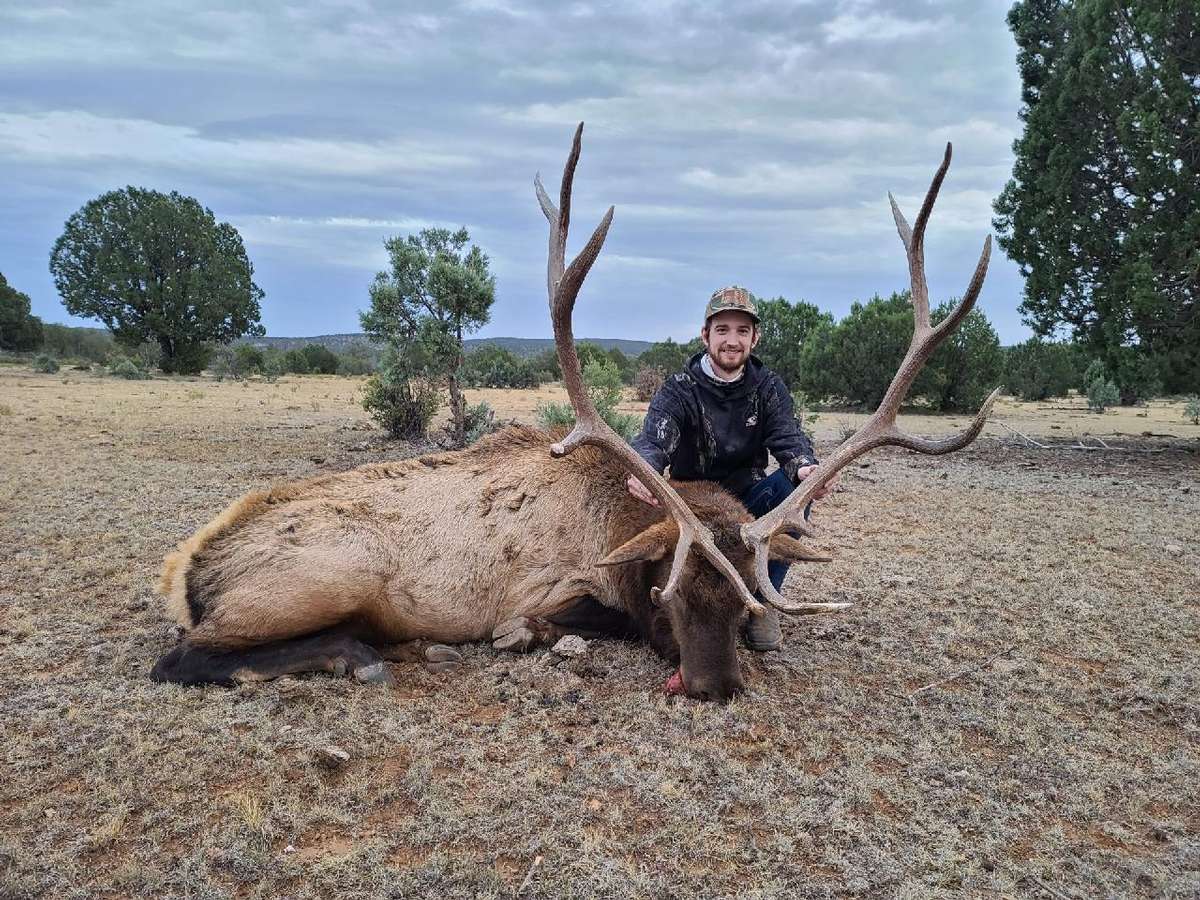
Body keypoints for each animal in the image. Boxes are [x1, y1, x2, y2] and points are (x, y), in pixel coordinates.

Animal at [147, 127, 993, 705]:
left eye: (742, 598)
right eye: (667, 593)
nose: (714, 686)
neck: (615, 520)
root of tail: (187, 568)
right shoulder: (544, 588)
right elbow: (570, 619)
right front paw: (530, 637)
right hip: (323, 576)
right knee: (180, 657)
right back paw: (360, 654)